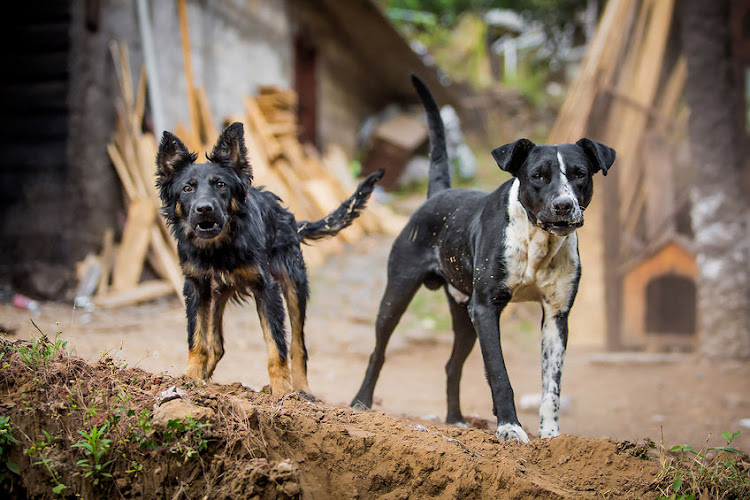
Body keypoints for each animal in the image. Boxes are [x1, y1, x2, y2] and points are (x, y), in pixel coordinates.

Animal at [156, 122, 384, 394]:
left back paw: (302, 390)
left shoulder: (267, 288)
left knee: (298, 346)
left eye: (221, 185)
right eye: (187, 189)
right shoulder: (196, 286)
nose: (204, 209)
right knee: (217, 344)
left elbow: (277, 346)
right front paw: (191, 377)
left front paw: (282, 391)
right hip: (218, 294)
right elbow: (197, 338)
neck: (220, 248)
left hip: (294, 285)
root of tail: (290, 218)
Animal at [352, 77, 616, 442]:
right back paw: (360, 403)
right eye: (537, 175)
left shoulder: (556, 316)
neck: (537, 240)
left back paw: (455, 419)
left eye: (580, 174)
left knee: (451, 365)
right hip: (397, 295)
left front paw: (550, 435)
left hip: (464, 316)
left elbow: (552, 386)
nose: (563, 206)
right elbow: (500, 374)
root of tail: (439, 193)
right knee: (378, 352)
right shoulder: (486, 308)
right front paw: (509, 428)